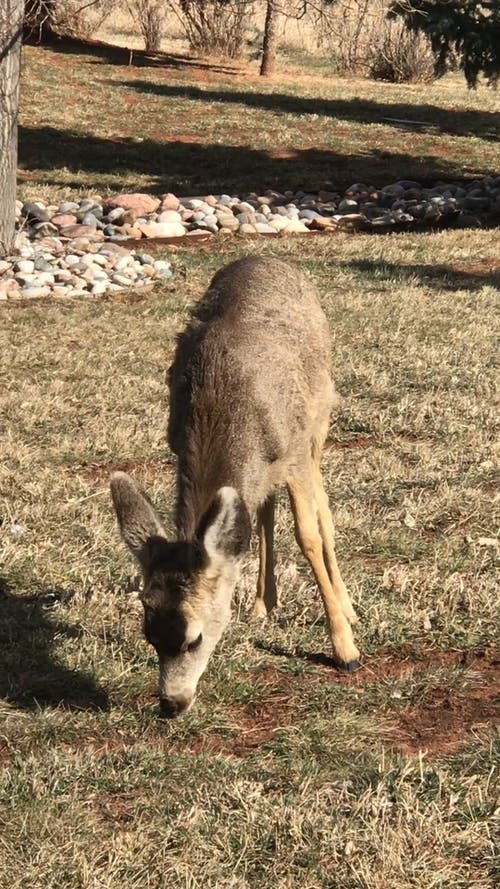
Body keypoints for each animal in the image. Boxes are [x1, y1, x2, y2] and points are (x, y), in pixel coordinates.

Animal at [110, 253, 360, 720]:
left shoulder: (296, 450)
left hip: (320, 416)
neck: (224, 408)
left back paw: (347, 607)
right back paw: (264, 603)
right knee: (262, 507)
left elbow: (310, 534)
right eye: (149, 634)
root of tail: (266, 257)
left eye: (194, 637)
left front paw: (345, 648)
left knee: (322, 509)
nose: (171, 703)